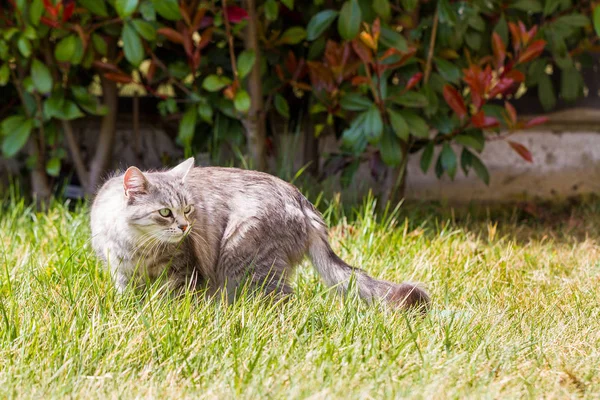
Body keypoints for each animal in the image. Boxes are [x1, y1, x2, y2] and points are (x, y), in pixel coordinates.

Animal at [89, 158, 428, 310]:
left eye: (188, 209)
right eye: (165, 213)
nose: (185, 227)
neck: (139, 248)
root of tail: (300, 199)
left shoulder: (185, 272)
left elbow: (178, 300)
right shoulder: (121, 272)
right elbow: (128, 298)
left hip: (243, 259)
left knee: (282, 300)